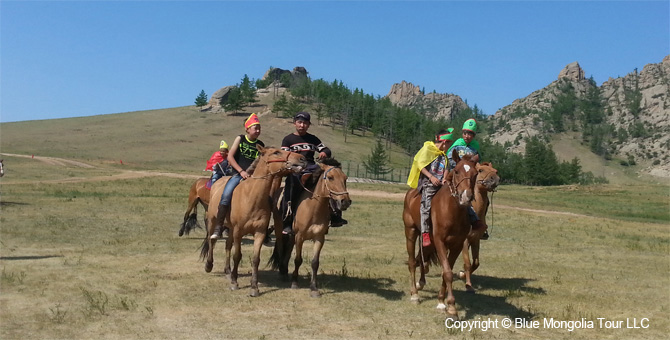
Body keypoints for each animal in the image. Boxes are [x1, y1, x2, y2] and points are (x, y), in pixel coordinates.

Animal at [198, 146, 306, 298]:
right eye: (276, 152)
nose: (302, 158)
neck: (251, 197)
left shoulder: (259, 232)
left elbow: (255, 259)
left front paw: (254, 287)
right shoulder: (238, 231)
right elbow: (237, 255)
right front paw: (234, 282)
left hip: (231, 229)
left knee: (227, 245)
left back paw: (227, 271)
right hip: (213, 222)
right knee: (211, 240)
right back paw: (209, 265)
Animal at [268, 159, 352, 298]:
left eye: (345, 178)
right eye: (330, 177)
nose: (345, 201)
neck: (313, 209)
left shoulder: (319, 237)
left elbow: (315, 262)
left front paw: (313, 288)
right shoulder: (300, 237)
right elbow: (298, 260)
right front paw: (295, 283)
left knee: (288, 248)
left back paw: (285, 270)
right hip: (280, 228)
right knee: (280, 247)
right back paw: (282, 272)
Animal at [404, 151, 484, 322]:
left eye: (475, 173)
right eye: (457, 171)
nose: (466, 197)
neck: (452, 211)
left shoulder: (457, 245)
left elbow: (446, 271)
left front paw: (442, 302)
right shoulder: (440, 242)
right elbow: (447, 272)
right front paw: (452, 308)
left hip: (428, 241)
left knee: (422, 259)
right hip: (411, 232)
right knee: (412, 262)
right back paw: (415, 294)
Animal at [460, 162, 502, 292]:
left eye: (496, 171)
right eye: (480, 170)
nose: (495, 179)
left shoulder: (475, 239)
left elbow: (476, 263)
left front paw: (462, 275)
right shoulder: (464, 240)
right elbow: (467, 263)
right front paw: (468, 285)